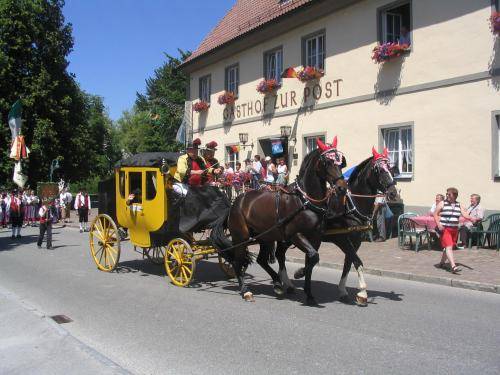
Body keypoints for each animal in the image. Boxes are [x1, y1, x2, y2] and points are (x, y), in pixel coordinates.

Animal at [213, 138, 350, 306]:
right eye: (327, 162)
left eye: (341, 162)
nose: (342, 188)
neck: (305, 200)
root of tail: (235, 203)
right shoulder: (295, 235)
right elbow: (313, 257)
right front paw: (298, 274)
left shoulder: (315, 238)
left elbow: (311, 260)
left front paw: (309, 294)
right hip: (241, 237)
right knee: (237, 261)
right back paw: (245, 290)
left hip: (265, 237)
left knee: (261, 260)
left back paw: (278, 283)